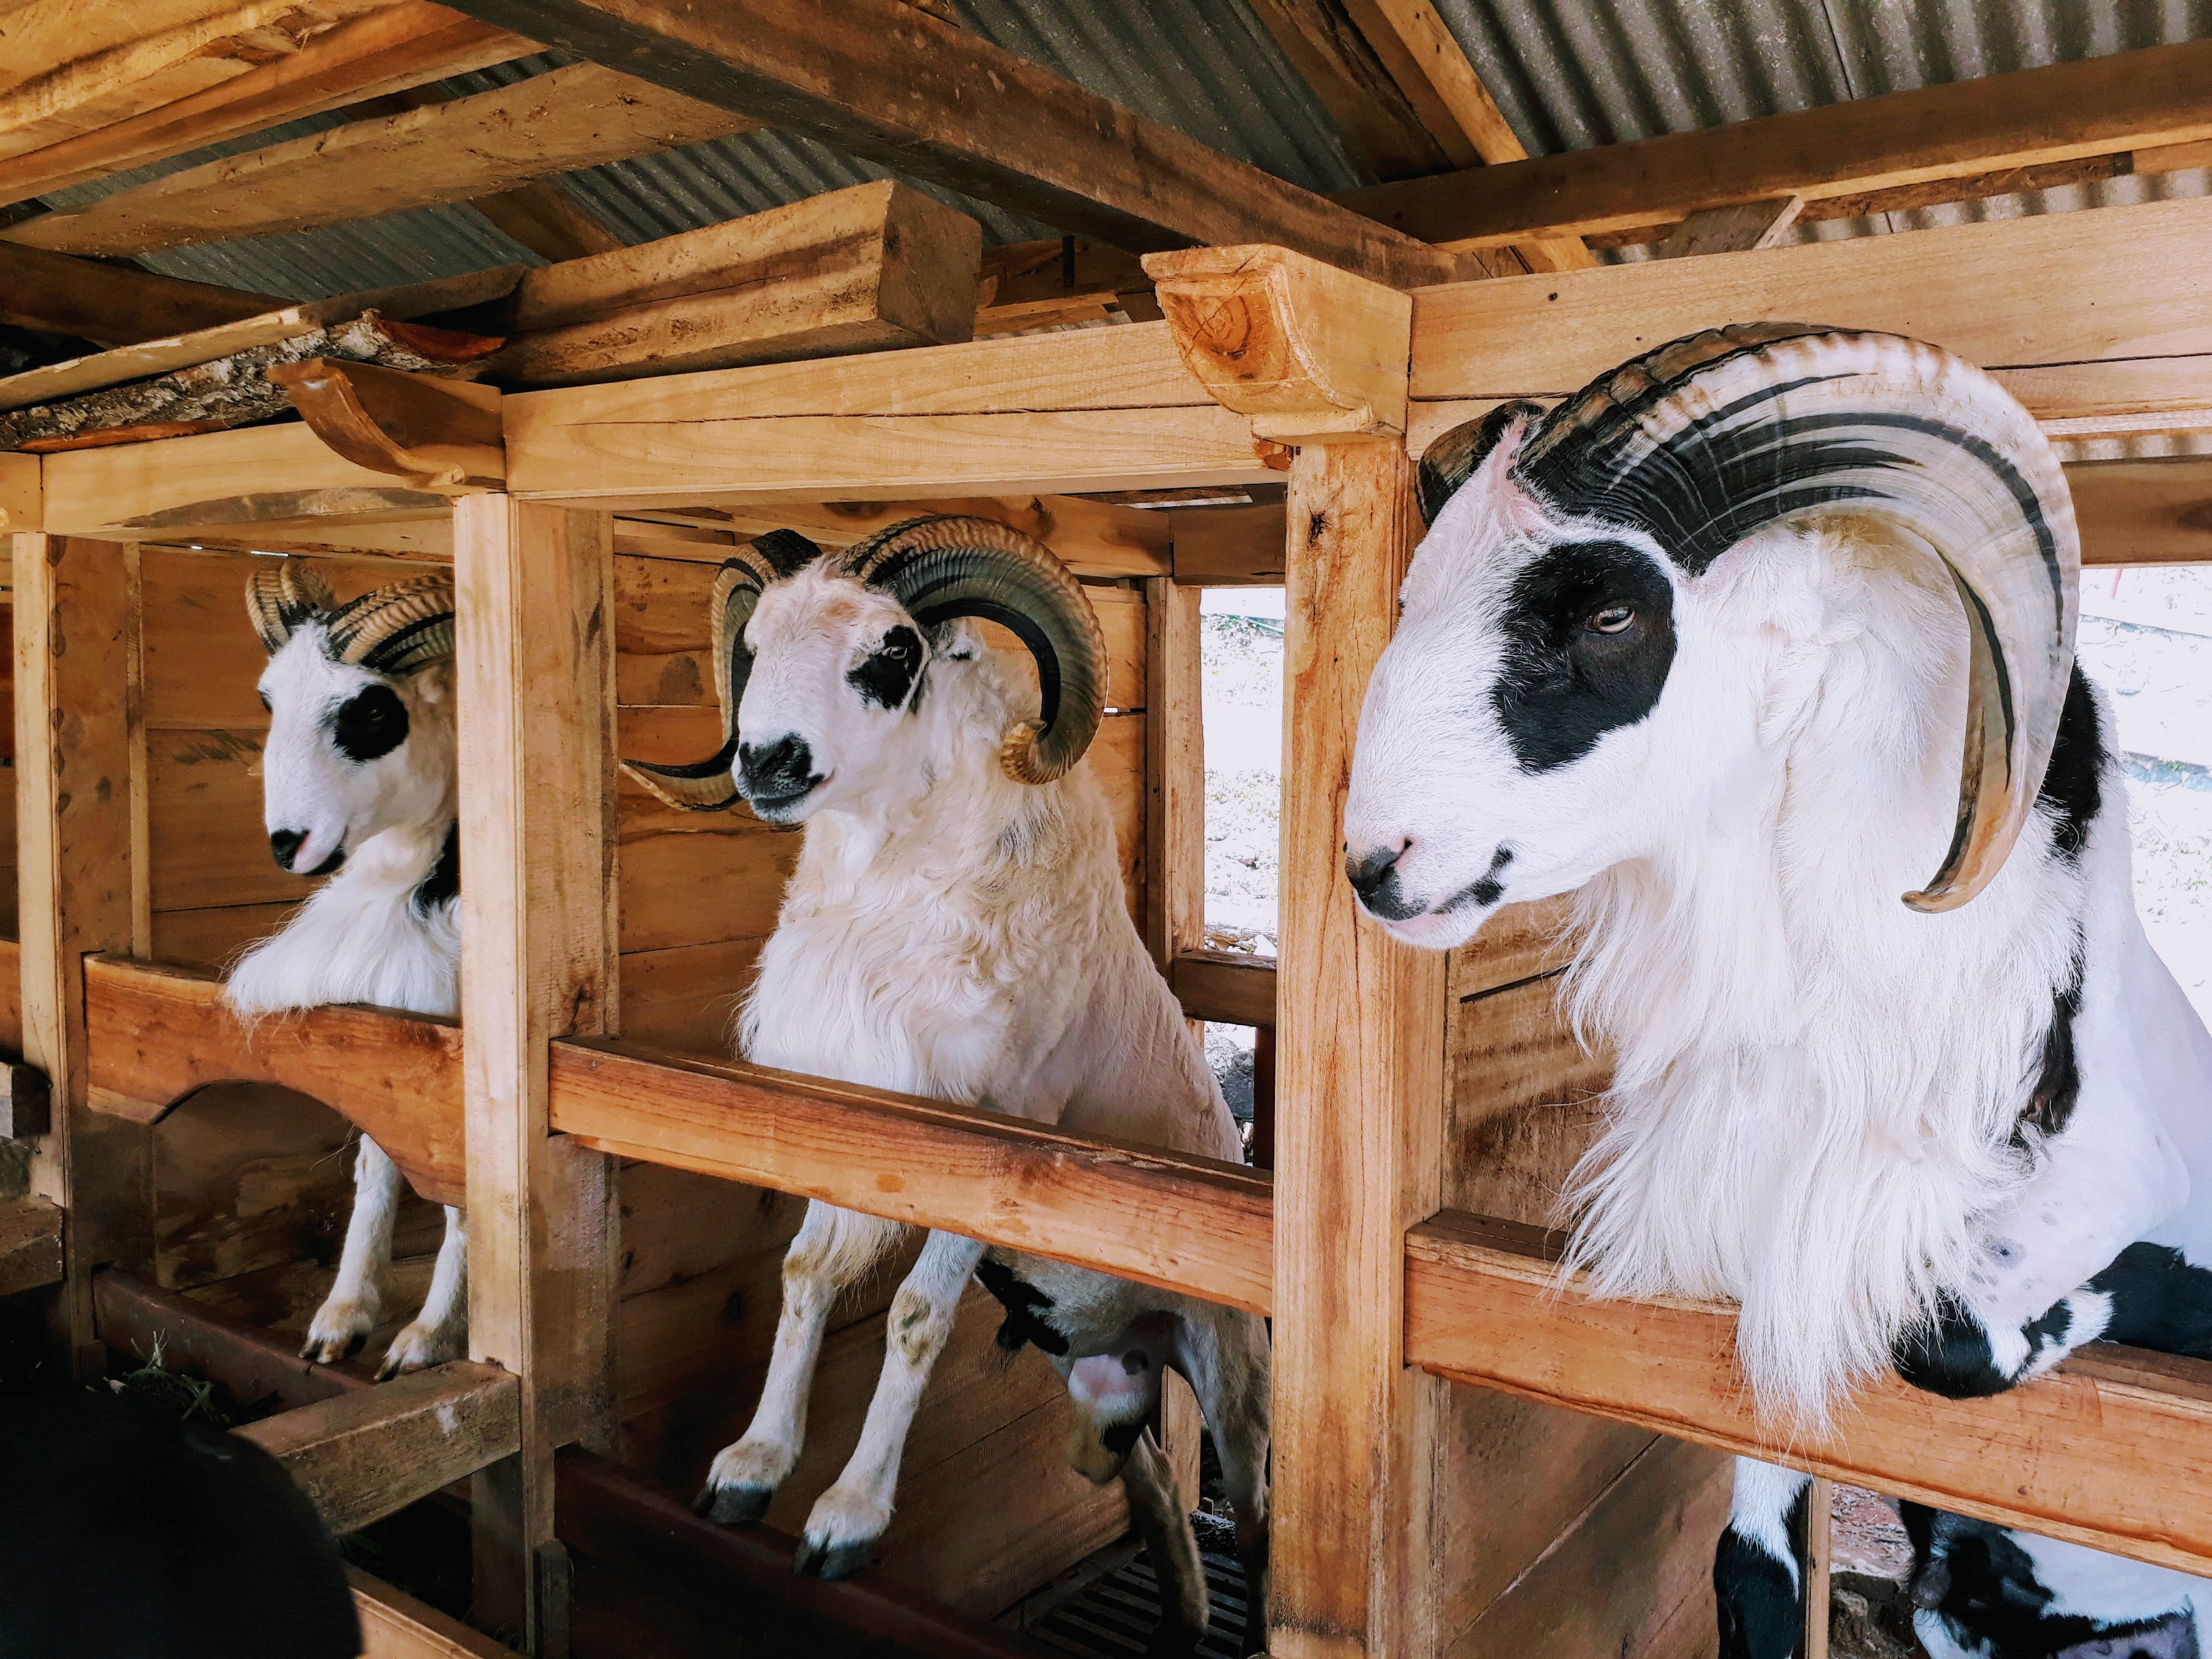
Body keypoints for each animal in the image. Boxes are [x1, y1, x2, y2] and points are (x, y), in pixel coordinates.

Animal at [224, 566, 467, 1380]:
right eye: (269, 699)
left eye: (372, 709)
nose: (287, 843)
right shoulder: (384, 1037)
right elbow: (377, 1162)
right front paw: (340, 1321)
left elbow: (465, 1196)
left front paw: (427, 1340)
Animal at [624, 517, 1274, 1654]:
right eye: (755, 643)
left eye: (892, 652)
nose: (766, 760)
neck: (886, 902)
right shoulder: (850, 1115)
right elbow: (803, 1277)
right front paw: (749, 1468)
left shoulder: (989, 1148)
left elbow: (914, 1319)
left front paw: (845, 1519)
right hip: (1093, 1373)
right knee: (1152, 1478)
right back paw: (1177, 1624)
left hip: (1231, 1378)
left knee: (1257, 1519)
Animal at [1336, 325, 2212, 1659]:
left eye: (1609, 610)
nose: (1377, 863)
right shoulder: (1756, 1290)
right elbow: (1750, 1565)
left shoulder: (2115, 1170)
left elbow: (1947, 1334)